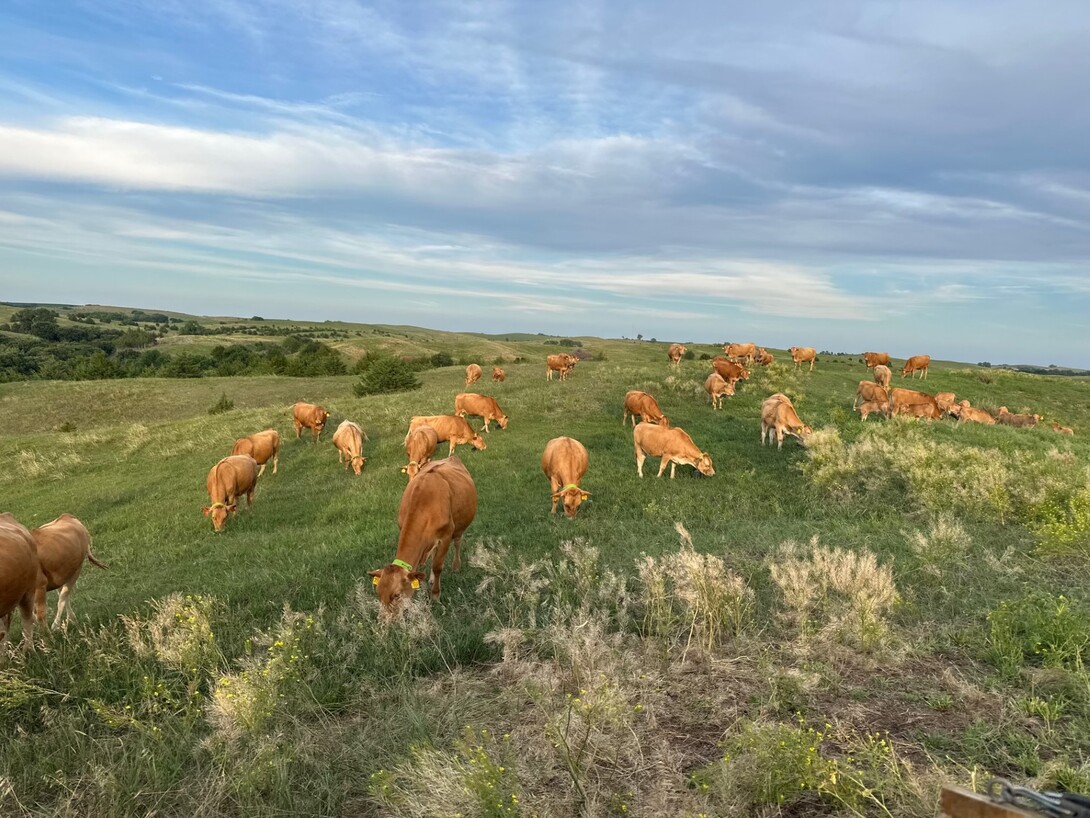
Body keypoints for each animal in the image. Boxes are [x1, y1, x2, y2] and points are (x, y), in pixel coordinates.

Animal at [369, 457, 477, 611]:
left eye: (396, 595)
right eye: (378, 593)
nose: (384, 618)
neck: (424, 504)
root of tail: (451, 458)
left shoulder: (445, 536)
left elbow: (438, 567)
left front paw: (435, 595)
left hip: (459, 526)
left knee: (457, 542)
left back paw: (456, 566)